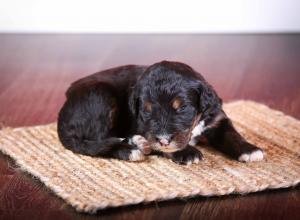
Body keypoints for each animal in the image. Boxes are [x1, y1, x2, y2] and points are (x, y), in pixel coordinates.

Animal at [57, 61, 264, 164]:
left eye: (182, 108)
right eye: (147, 110)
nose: (164, 140)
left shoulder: (216, 118)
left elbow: (231, 134)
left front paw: (249, 150)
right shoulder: (144, 126)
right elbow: (162, 145)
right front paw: (186, 152)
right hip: (101, 96)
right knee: (95, 143)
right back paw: (130, 150)